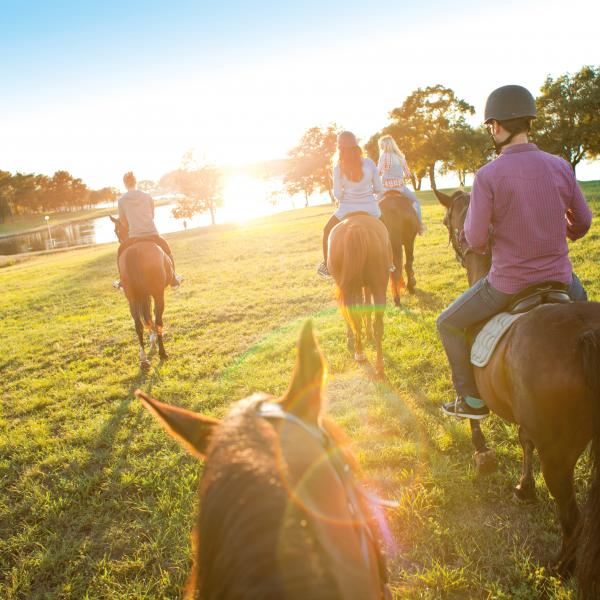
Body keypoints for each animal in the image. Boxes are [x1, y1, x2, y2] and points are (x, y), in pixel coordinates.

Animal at [110, 213, 172, 368]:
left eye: (116, 231)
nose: (121, 240)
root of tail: (135, 250)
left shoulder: (143, 295)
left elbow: (146, 316)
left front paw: (151, 340)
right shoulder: (153, 293)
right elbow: (151, 316)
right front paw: (154, 341)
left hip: (132, 297)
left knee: (138, 325)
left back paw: (143, 359)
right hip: (158, 294)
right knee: (158, 320)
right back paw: (162, 352)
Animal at [326, 213, 392, 378]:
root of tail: (356, 229)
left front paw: (352, 338)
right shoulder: (364, 286)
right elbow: (365, 307)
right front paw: (366, 334)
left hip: (351, 287)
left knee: (354, 319)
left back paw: (360, 353)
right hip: (377, 286)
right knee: (376, 324)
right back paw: (378, 365)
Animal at [434, 191, 600, 592]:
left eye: (447, 221)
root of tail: (585, 333)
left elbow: (472, 413)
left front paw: (483, 455)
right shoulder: (528, 418)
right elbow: (525, 439)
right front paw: (525, 488)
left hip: (559, 458)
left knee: (572, 518)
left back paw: (560, 569)